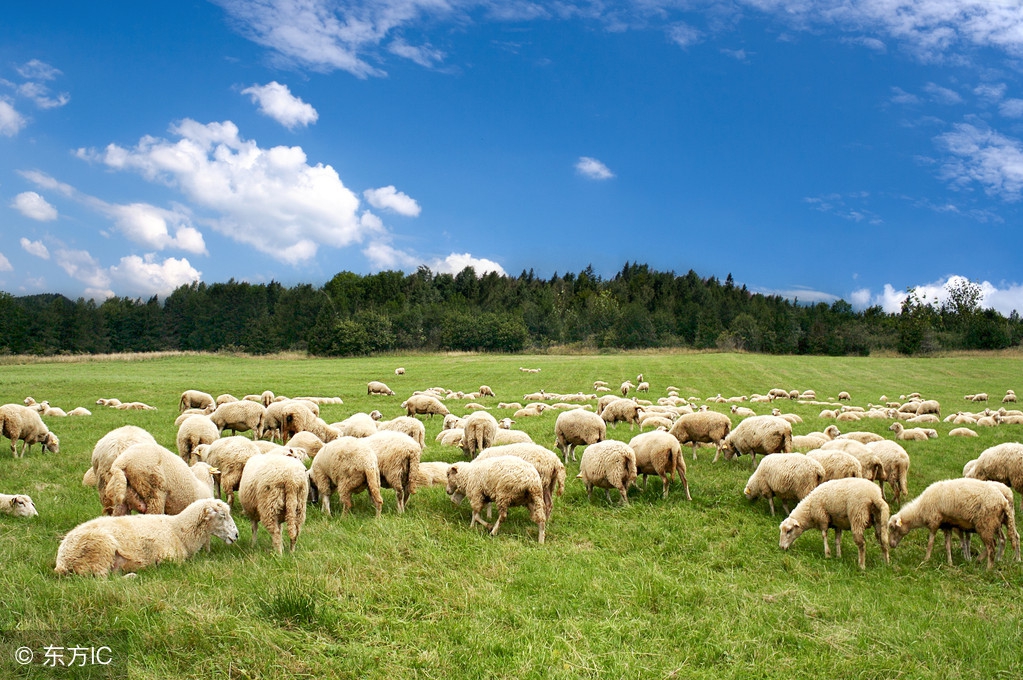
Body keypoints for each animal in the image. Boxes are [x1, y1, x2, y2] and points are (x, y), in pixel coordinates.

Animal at [54, 496, 237, 576]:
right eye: (222, 515)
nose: (236, 535)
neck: (178, 530)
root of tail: (62, 560)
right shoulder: (168, 558)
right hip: (101, 549)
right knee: (100, 578)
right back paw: (132, 575)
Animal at [883, 476, 1018, 568]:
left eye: (893, 527)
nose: (891, 545)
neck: (920, 510)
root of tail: (1003, 501)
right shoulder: (947, 525)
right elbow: (947, 545)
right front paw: (950, 563)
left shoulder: (934, 522)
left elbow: (930, 543)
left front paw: (926, 559)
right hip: (993, 524)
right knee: (998, 541)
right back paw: (980, 560)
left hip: (986, 524)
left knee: (991, 547)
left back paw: (988, 569)